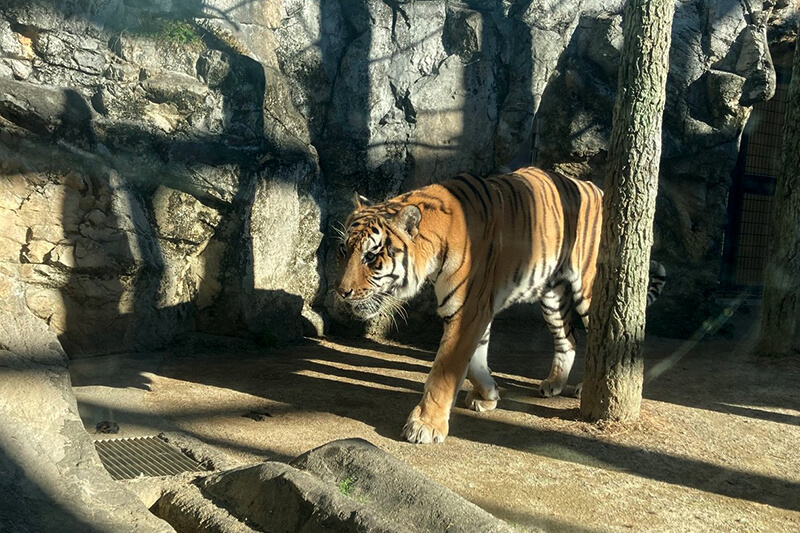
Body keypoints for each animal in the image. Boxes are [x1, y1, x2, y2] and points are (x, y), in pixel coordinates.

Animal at [334, 166, 664, 444]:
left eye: (371, 257)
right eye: (343, 250)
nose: (342, 292)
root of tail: (597, 189)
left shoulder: (468, 310)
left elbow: (444, 371)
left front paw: (425, 425)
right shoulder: (476, 310)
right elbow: (475, 361)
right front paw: (489, 395)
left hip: (589, 289)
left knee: (605, 334)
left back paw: (587, 387)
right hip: (552, 295)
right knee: (568, 337)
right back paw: (553, 384)